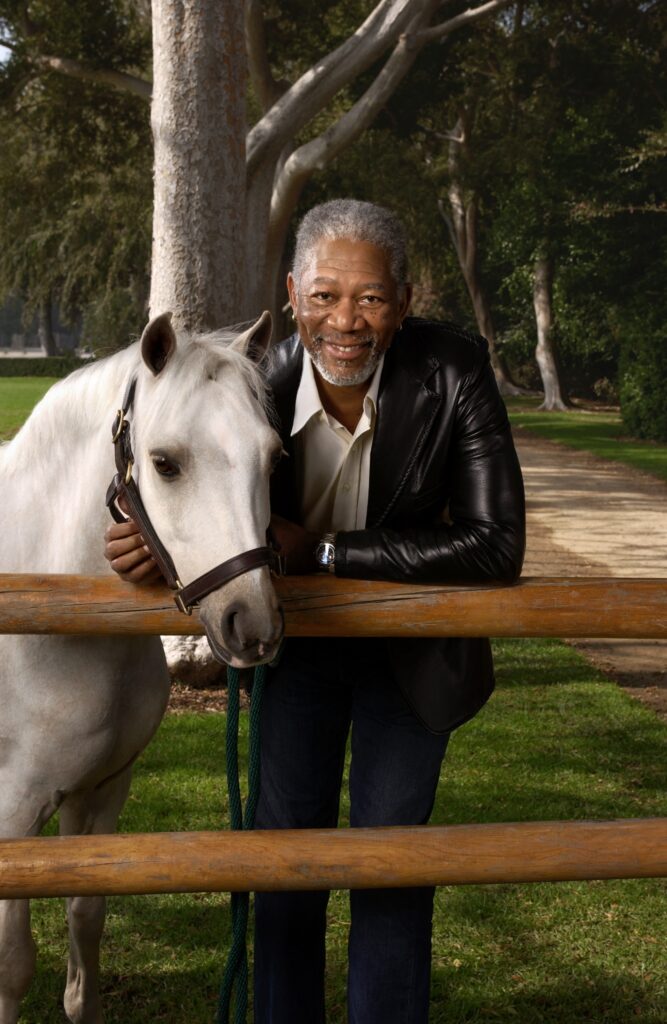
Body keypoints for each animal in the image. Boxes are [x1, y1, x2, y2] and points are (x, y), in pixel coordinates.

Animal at [0, 311, 284, 1024]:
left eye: (274, 458)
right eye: (164, 463)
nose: (253, 626)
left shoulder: (101, 795)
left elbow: (85, 926)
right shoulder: (12, 818)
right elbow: (13, 966)